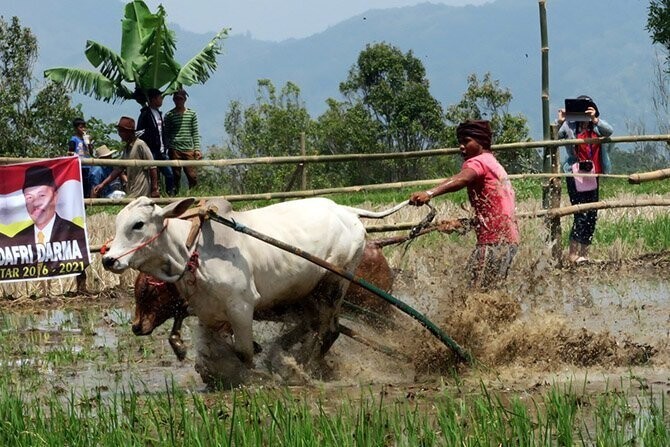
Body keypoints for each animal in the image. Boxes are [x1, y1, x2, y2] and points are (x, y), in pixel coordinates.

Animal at [100, 196, 404, 384]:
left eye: (138, 224)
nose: (108, 259)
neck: (192, 250)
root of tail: (347, 210)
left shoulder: (241, 308)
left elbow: (244, 352)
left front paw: (258, 375)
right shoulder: (208, 314)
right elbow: (207, 355)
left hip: (334, 284)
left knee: (329, 331)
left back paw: (302, 369)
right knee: (323, 328)